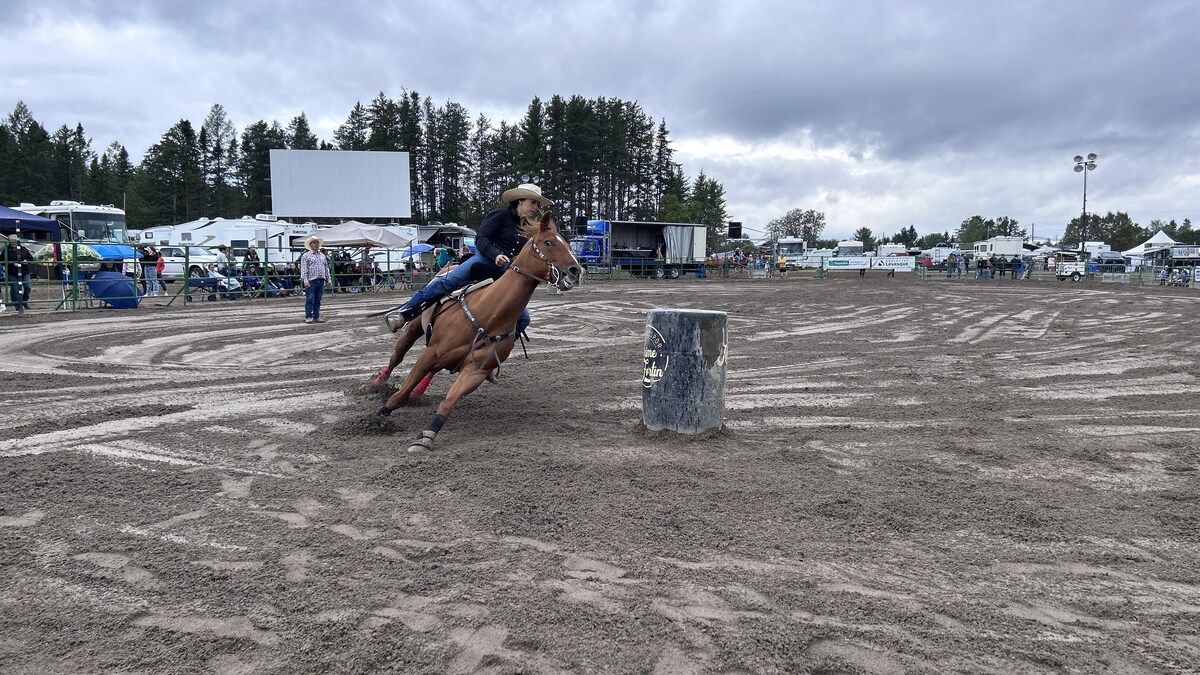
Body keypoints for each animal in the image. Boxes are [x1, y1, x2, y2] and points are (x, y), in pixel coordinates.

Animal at [372, 212, 583, 449]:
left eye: (568, 244)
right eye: (548, 242)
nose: (576, 271)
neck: (488, 313)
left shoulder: (475, 372)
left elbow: (448, 402)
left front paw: (426, 435)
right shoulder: (430, 354)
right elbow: (401, 393)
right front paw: (378, 416)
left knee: (432, 370)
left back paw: (419, 391)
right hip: (415, 327)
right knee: (398, 354)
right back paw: (378, 381)